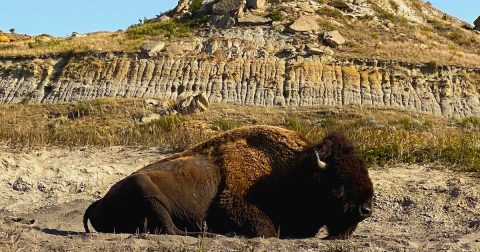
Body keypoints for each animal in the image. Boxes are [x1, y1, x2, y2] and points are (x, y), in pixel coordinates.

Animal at [84, 125, 374, 239]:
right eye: (339, 181)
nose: (366, 209)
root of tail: (97, 202)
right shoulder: (234, 203)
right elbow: (267, 230)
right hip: (144, 188)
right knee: (173, 230)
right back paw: (217, 234)